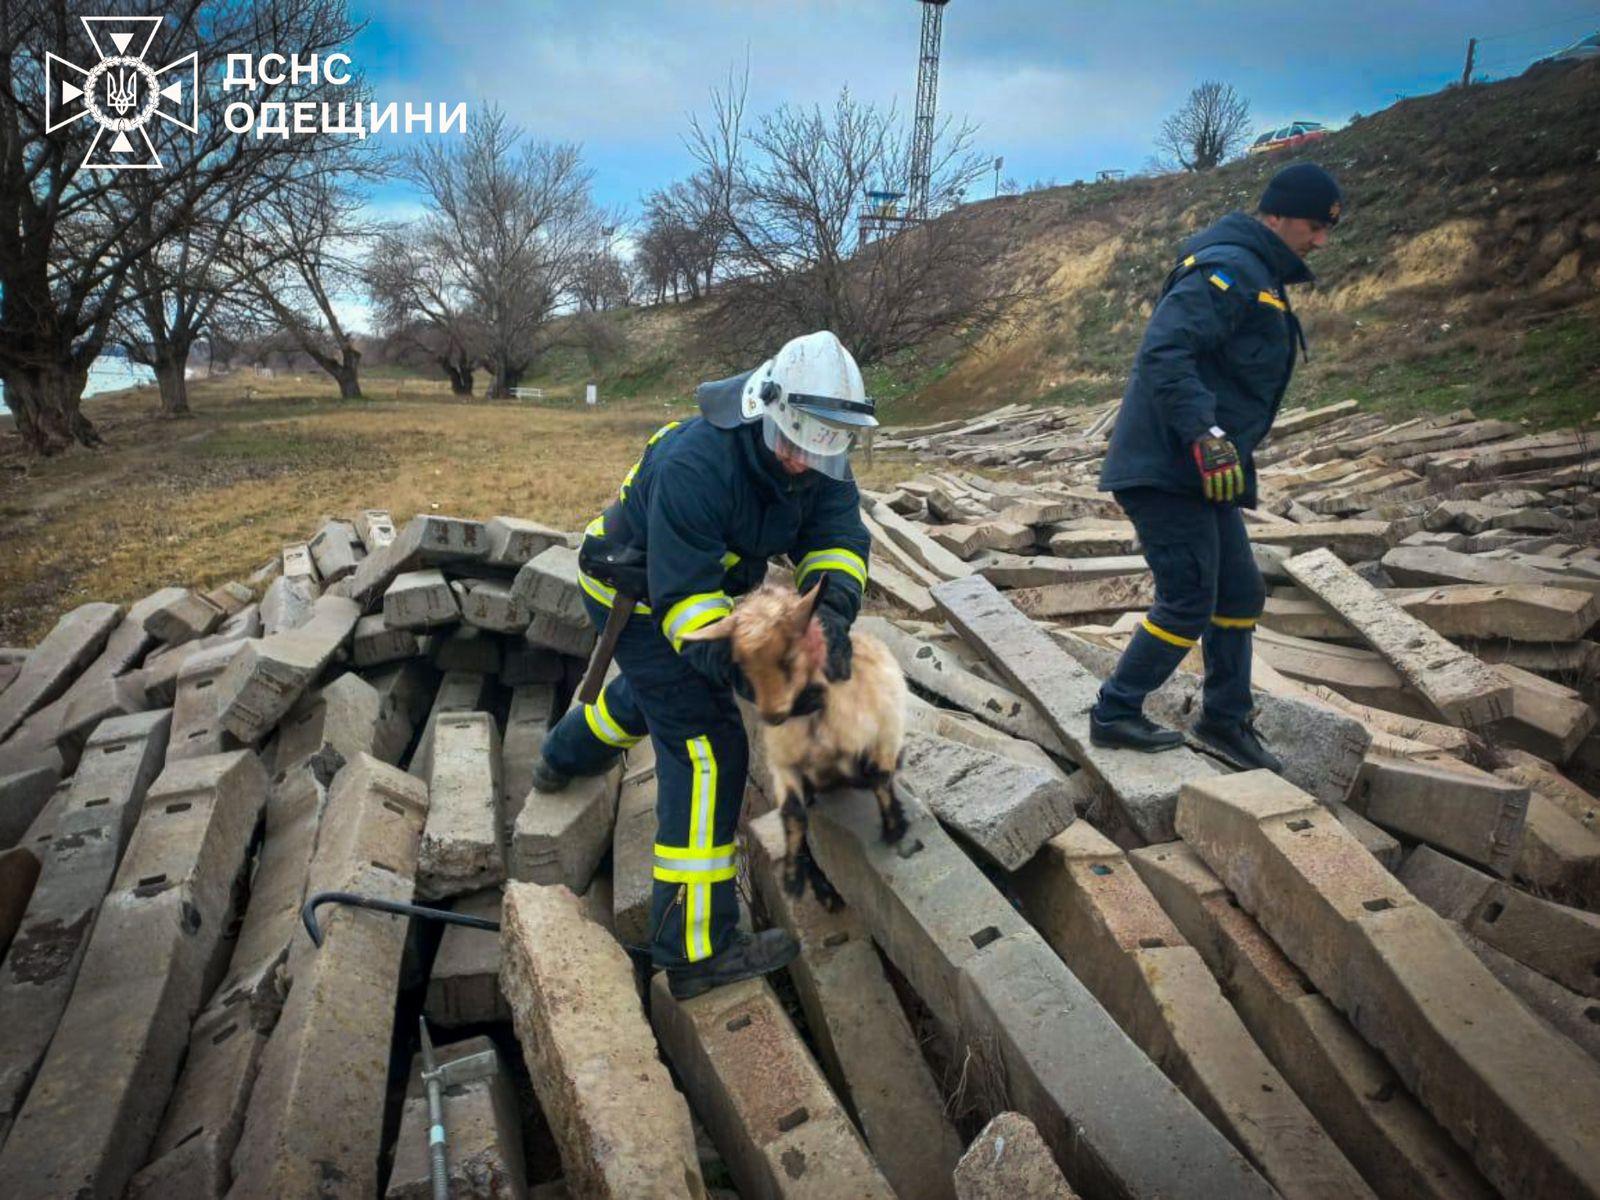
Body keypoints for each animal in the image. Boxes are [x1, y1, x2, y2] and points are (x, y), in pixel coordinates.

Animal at [678, 576, 915, 908]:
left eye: (788, 657)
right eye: (740, 665)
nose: (772, 715)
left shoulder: (886, 733)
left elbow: (881, 778)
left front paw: (895, 828)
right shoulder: (783, 764)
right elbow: (793, 814)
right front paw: (793, 878)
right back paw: (825, 891)